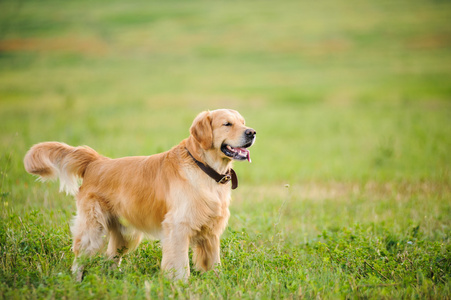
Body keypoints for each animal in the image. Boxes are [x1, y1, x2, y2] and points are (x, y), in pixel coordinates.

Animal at [23, 108, 258, 282]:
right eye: (227, 124)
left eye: (243, 122)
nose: (252, 132)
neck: (203, 166)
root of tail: (96, 161)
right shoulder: (177, 227)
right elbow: (180, 264)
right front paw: (181, 286)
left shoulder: (211, 230)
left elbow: (214, 262)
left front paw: (218, 281)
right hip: (93, 228)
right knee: (79, 258)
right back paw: (76, 282)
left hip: (125, 234)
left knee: (111, 258)